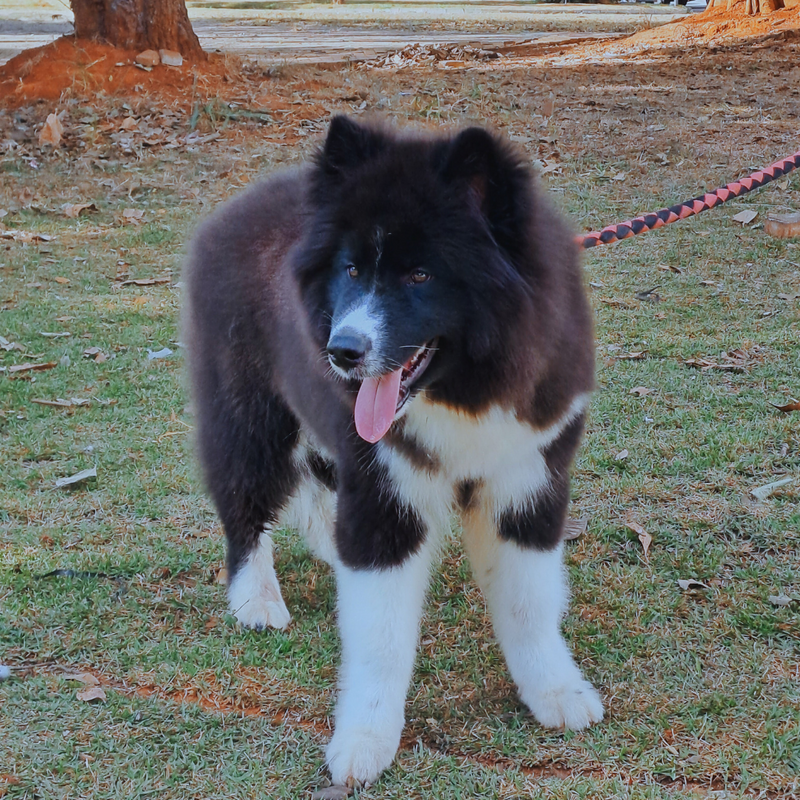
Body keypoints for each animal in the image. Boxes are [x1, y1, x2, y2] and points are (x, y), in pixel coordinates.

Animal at [184, 115, 604, 784]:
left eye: (420, 275)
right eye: (352, 270)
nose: (343, 351)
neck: (461, 393)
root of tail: (234, 209)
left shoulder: (526, 477)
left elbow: (530, 602)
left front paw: (556, 692)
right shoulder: (383, 492)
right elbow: (379, 636)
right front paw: (364, 740)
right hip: (248, 413)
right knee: (245, 501)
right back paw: (256, 597)